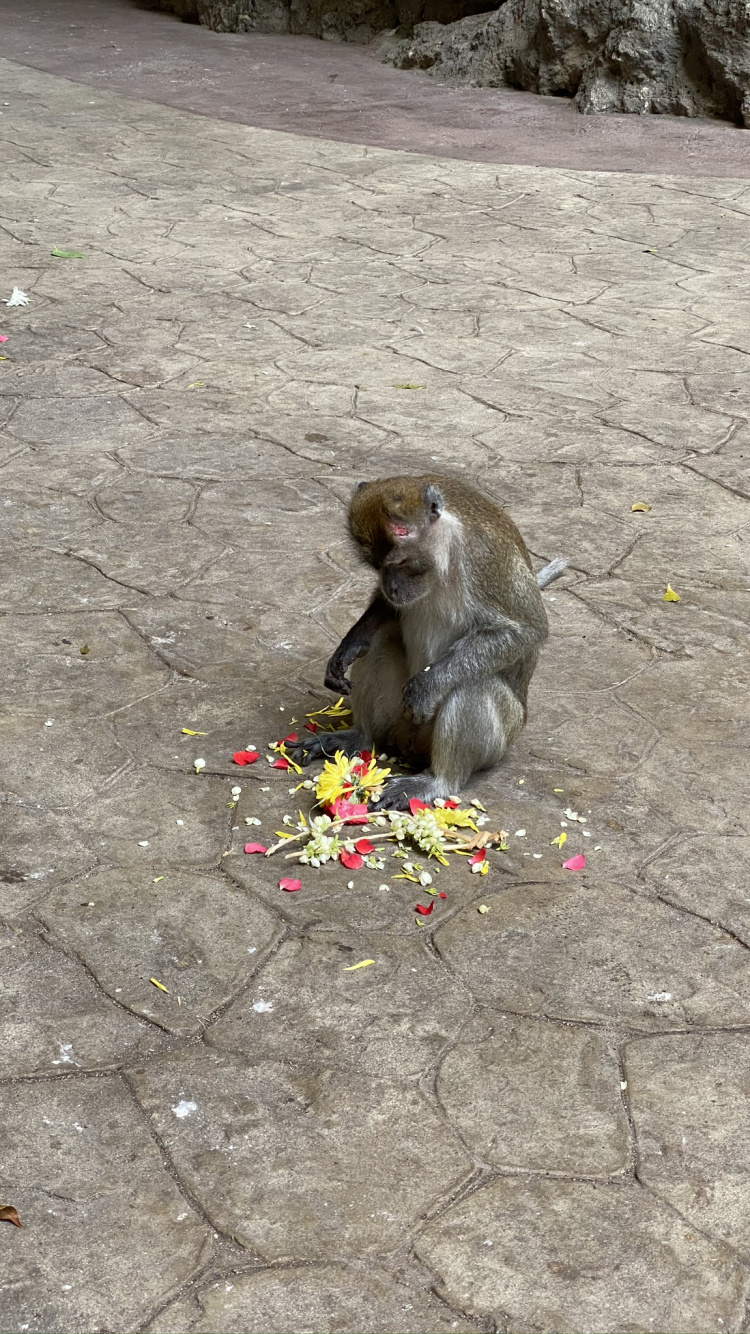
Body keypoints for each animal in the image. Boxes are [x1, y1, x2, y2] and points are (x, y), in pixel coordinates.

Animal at [290, 475, 567, 810]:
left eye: (403, 563)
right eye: (378, 566)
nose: (392, 587)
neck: (445, 551)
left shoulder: (485, 559)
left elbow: (526, 630)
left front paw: (427, 686)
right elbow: (385, 612)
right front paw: (350, 643)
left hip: (500, 737)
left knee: (472, 682)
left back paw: (438, 780)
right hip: (396, 720)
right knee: (381, 643)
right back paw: (360, 736)